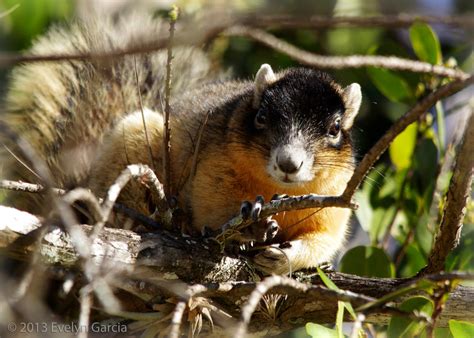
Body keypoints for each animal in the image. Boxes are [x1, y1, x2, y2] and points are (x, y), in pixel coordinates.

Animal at [0, 13, 362, 278]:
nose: (288, 163)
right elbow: (211, 210)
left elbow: (322, 241)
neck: (277, 188)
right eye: (260, 117)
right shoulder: (213, 170)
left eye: (335, 129)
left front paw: (283, 257)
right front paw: (250, 226)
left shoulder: (334, 200)